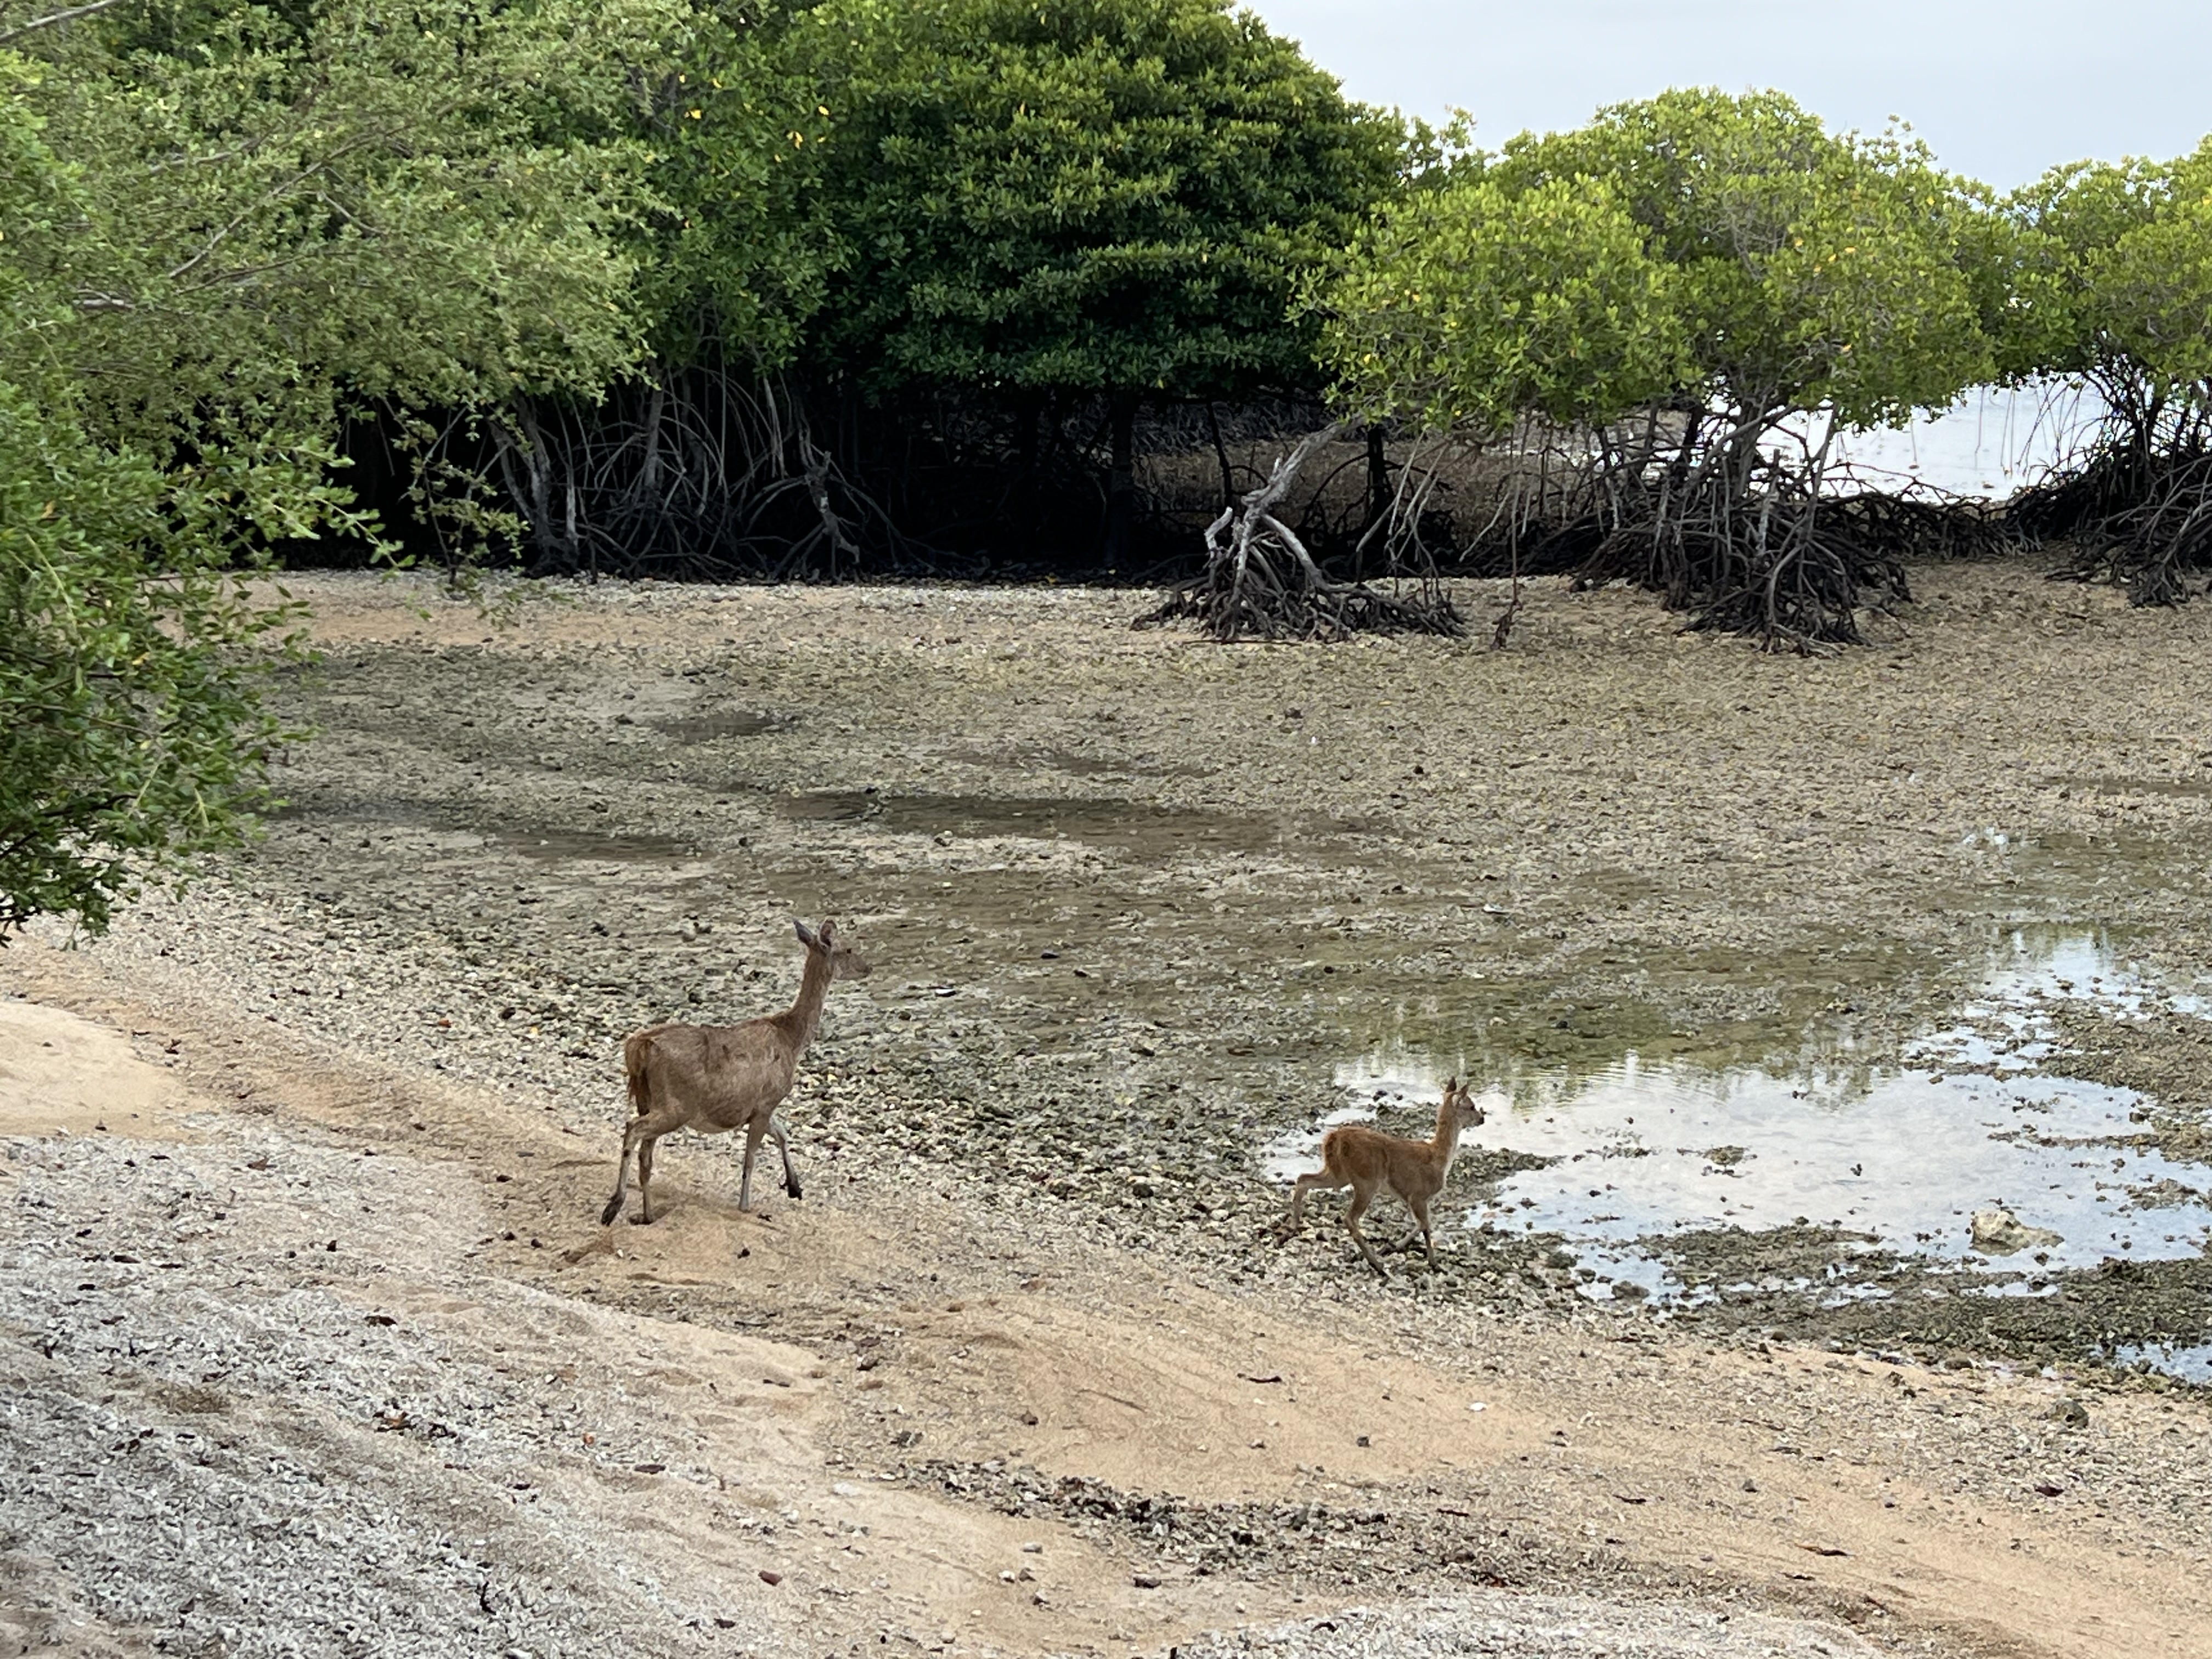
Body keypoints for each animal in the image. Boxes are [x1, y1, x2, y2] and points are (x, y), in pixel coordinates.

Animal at [599, 918, 870, 1229]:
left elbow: (782, 1133)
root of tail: (641, 1047)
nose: (868, 968)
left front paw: (795, 1187)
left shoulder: (758, 1105)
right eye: (848, 949)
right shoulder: (768, 1099)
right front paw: (745, 1205)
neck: (791, 1039)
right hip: (676, 1104)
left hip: (648, 1099)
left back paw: (647, 1214)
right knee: (633, 1129)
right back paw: (613, 1207)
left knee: (646, 1153)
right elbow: (752, 1156)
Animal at [1280, 1078, 1486, 1278]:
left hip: (1339, 1173)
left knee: (1303, 1179)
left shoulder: (1411, 1196)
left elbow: (1420, 1225)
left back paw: (1291, 1229)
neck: (1439, 1159)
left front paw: (1393, 1246)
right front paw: (1434, 1263)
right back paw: (1378, 1265)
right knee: (1350, 1218)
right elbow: (1426, 1226)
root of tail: (1334, 1139)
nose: (1482, 1119)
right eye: (1471, 1106)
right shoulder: (1418, 1194)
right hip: (1367, 1179)